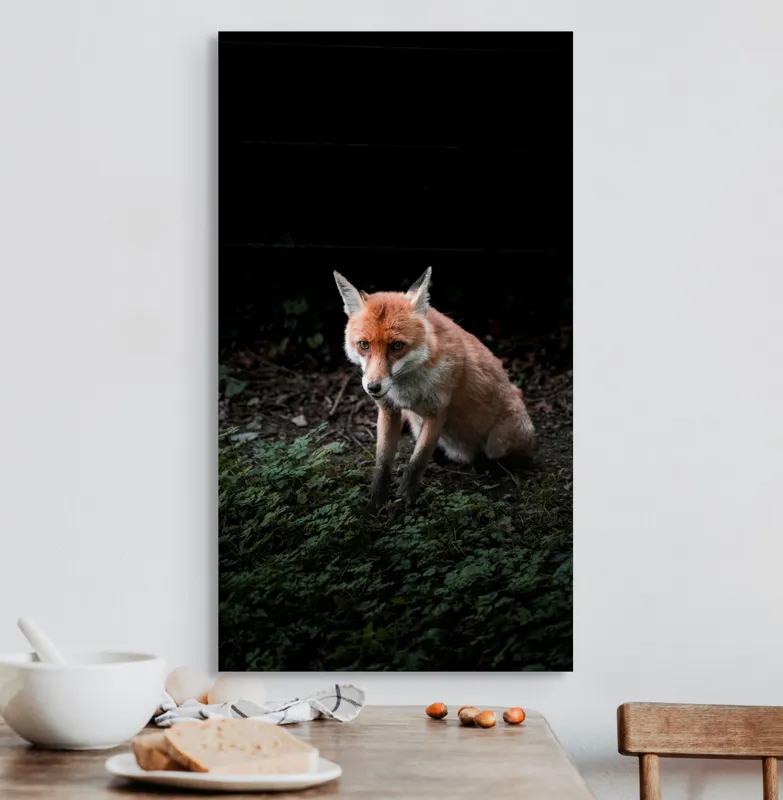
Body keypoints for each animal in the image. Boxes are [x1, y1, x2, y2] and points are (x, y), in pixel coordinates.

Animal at [333, 267, 535, 510]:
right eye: (364, 345)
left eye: (397, 346)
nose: (373, 387)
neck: (407, 390)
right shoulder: (389, 410)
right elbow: (382, 463)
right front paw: (376, 501)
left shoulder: (437, 411)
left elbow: (417, 462)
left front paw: (404, 500)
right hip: (417, 424)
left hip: (501, 440)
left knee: (510, 457)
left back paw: (489, 466)